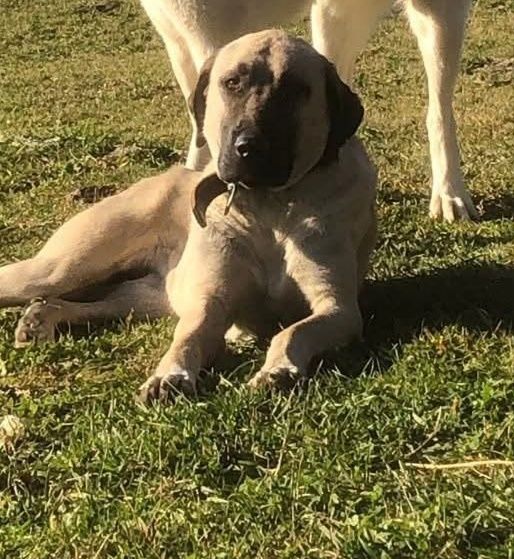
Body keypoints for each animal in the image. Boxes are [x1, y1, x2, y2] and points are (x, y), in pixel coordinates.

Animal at [0, 30, 376, 402]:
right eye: (232, 82)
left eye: (296, 88)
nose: (249, 147)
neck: (269, 207)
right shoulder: (211, 302)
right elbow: (189, 336)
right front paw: (169, 375)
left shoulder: (338, 307)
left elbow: (295, 331)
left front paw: (278, 370)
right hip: (62, 269)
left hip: (148, 295)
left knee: (100, 300)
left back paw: (39, 318)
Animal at [139, 0, 476, 222]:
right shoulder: (180, 38)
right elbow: (201, 133)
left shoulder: (217, 37)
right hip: (333, 17)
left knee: (439, 111)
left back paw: (449, 194)